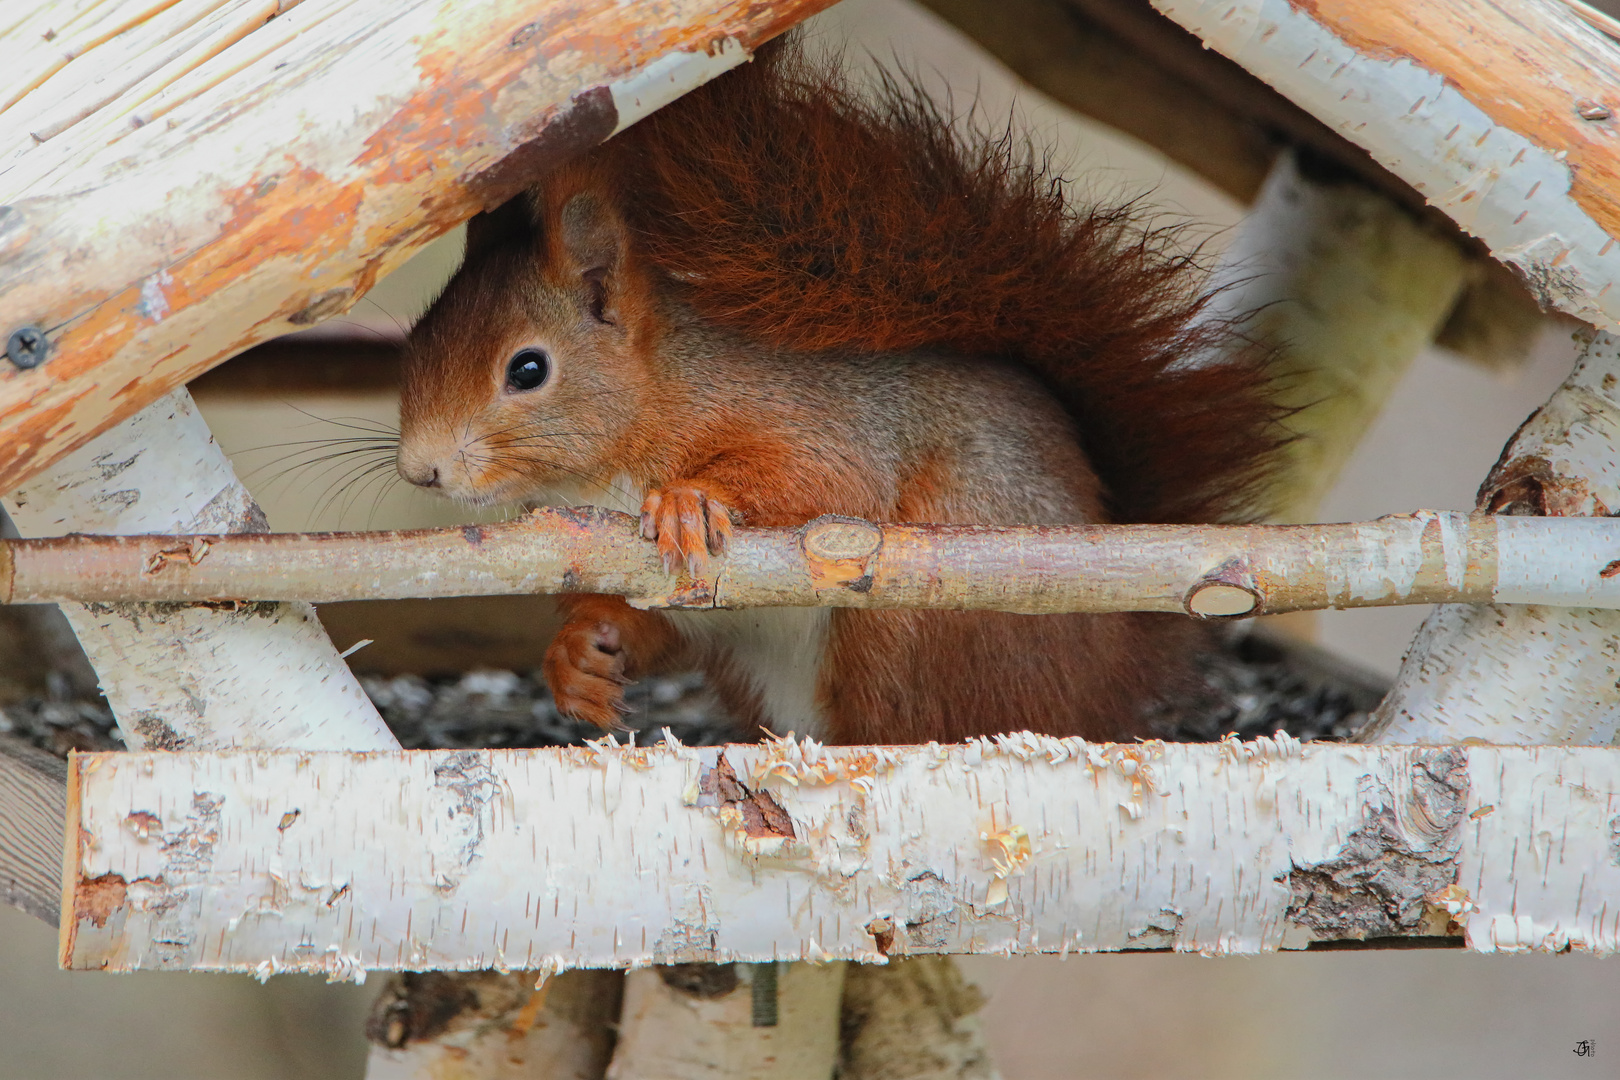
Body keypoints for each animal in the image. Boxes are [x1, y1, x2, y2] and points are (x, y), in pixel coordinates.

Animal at [395, 38, 1276, 748]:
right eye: (416, 335)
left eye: (528, 370)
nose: (419, 469)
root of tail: (1113, 674)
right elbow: (641, 622)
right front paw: (580, 655)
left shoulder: (805, 417)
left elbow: (824, 478)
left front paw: (689, 501)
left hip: (918, 622)